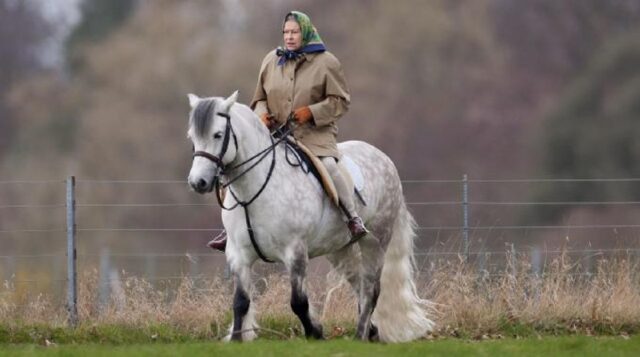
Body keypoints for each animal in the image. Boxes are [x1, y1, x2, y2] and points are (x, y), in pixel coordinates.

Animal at [186, 92, 436, 342]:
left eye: (218, 134)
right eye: (192, 137)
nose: (198, 182)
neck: (253, 192)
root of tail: (384, 158)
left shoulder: (295, 252)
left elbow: (298, 302)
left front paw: (315, 332)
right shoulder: (238, 255)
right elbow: (240, 302)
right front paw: (237, 339)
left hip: (376, 242)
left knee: (371, 291)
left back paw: (360, 335)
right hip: (340, 249)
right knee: (359, 285)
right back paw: (372, 332)